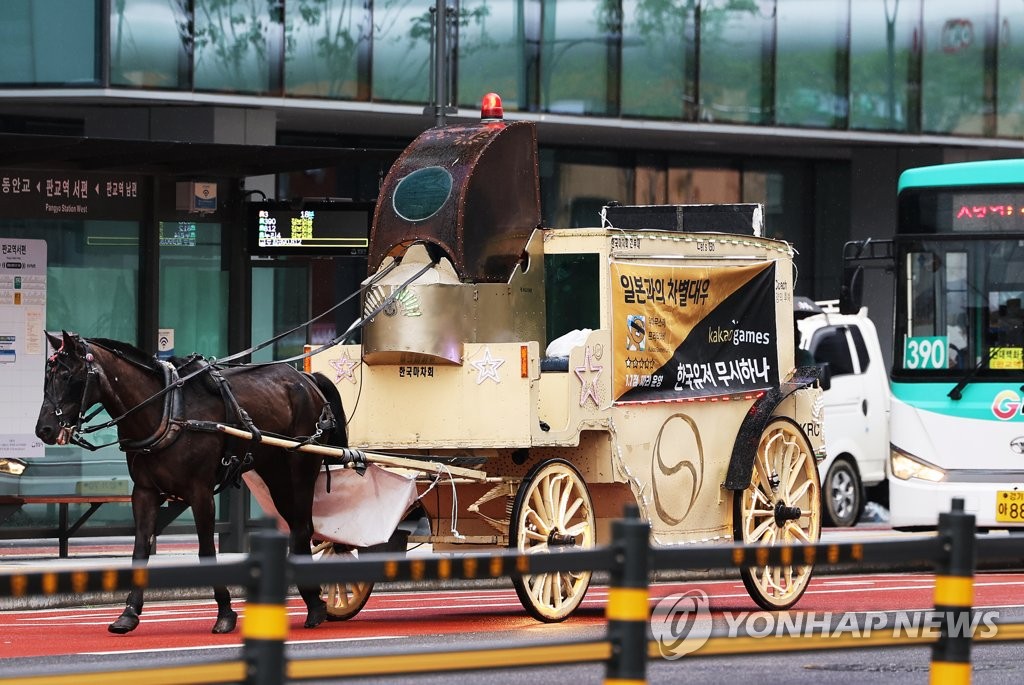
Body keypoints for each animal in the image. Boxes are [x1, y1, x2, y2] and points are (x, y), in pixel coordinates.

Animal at [36, 327, 348, 634]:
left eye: (68, 376)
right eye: (47, 376)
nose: (44, 429)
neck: (167, 410)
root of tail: (306, 378)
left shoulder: (200, 493)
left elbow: (207, 552)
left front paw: (225, 613)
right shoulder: (145, 492)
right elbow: (140, 550)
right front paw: (129, 613)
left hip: (301, 468)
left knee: (303, 527)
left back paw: (315, 605)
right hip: (276, 473)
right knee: (298, 527)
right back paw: (313, 599)